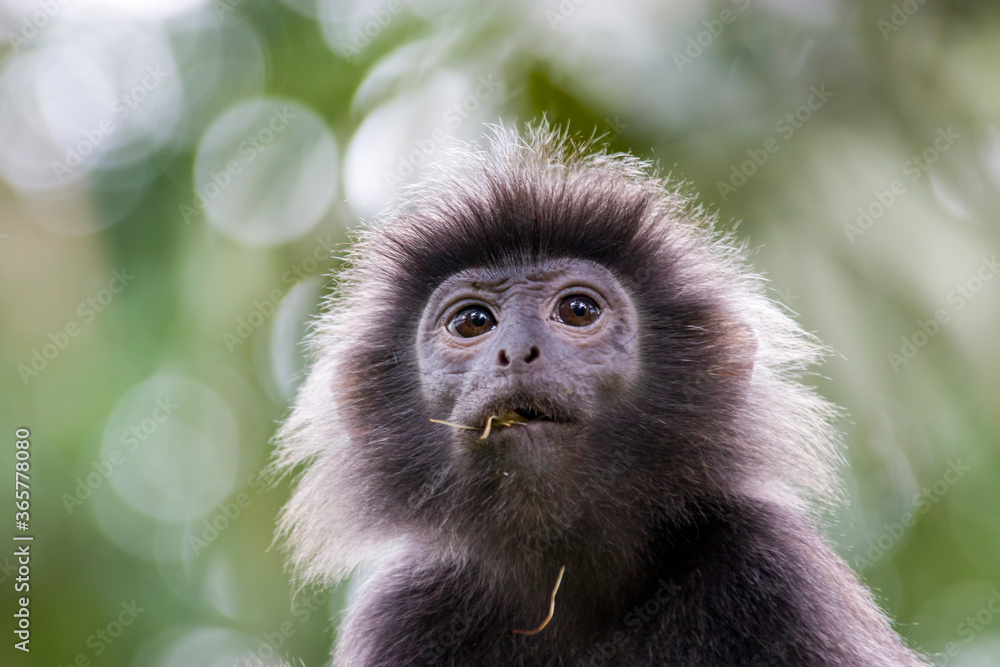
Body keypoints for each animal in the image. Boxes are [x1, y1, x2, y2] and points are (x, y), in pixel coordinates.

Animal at [272, 123, 929, 666]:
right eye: (472, 322)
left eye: (578, 310)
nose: (517, 352)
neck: (569, 587)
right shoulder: (403, 615)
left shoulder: (774, 570)